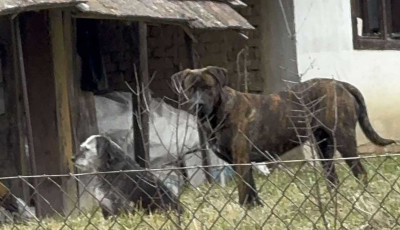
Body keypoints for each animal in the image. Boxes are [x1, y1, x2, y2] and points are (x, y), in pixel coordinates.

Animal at [171, 65, 394, 207]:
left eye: (208, 87)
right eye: (191, 88)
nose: (198, 105)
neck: (219, 113)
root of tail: (340, 83)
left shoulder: (241, 160)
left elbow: (243, 193)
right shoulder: (239, 163)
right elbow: (251, 191)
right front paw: (255, 211)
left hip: (344, 140)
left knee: (360, 172)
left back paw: (362, 197)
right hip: (324, 146)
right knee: (333, 177)